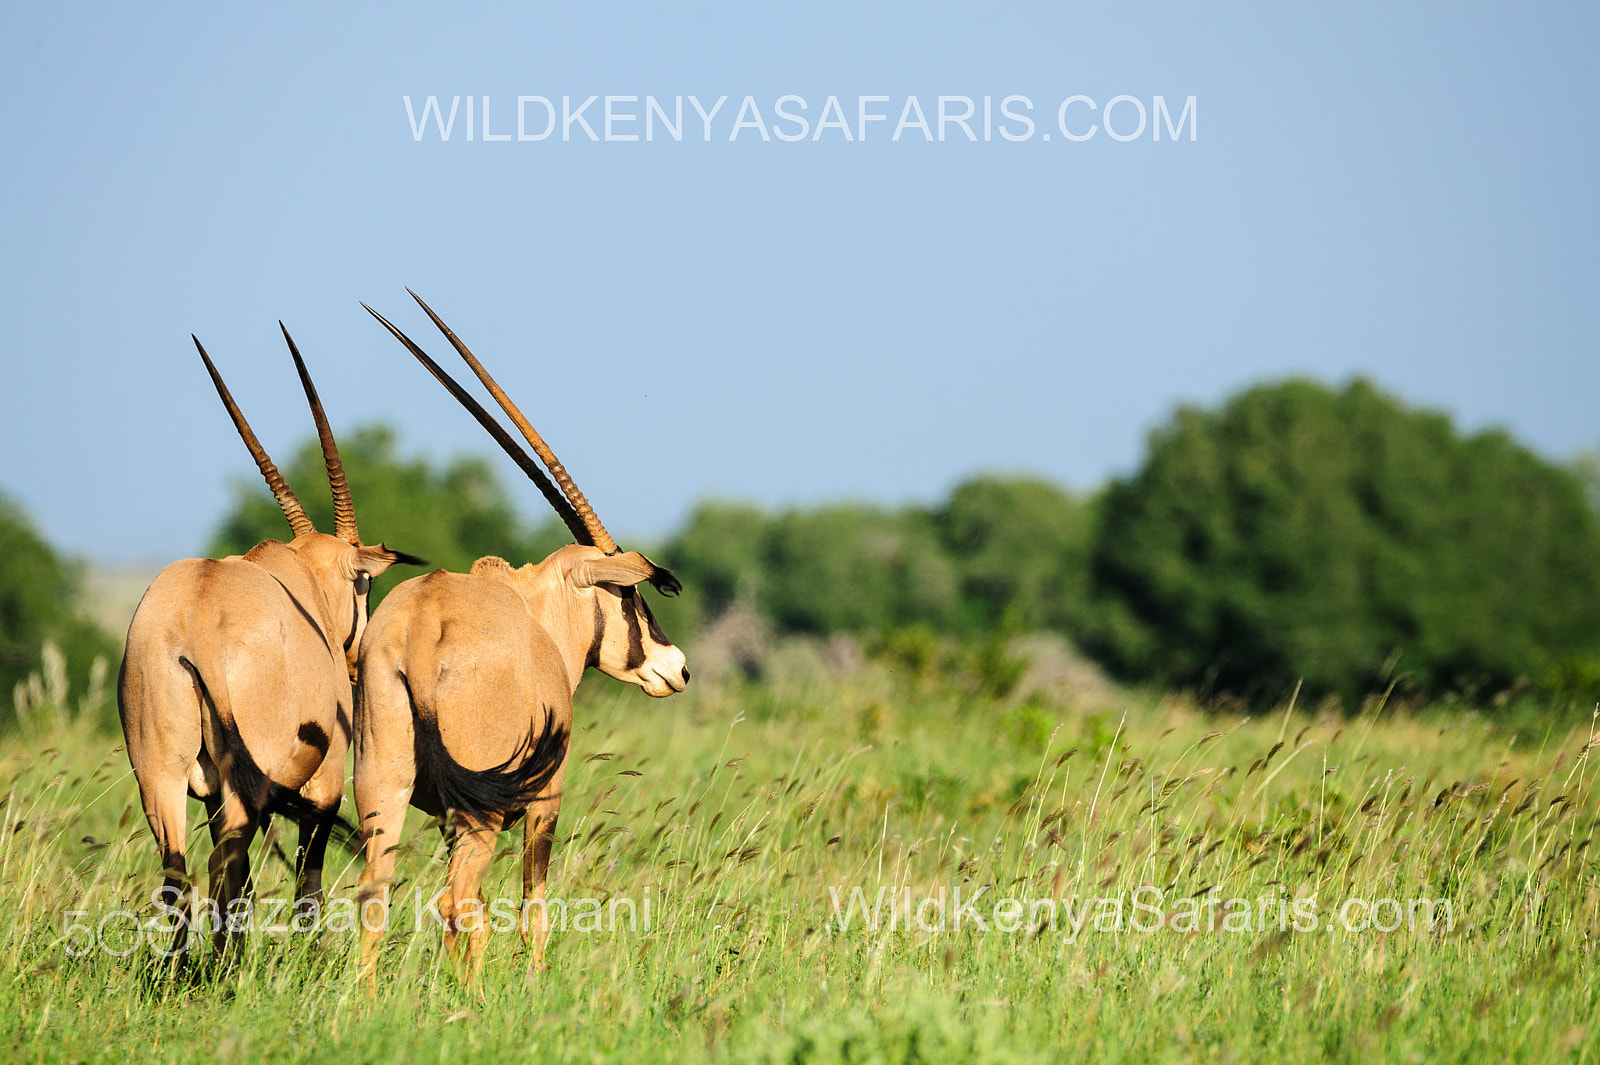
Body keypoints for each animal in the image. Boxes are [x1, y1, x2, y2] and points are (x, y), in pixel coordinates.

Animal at [118, 326, 422, 953]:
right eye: (362, 582)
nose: (351, 658)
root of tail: (196, 623)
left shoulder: (208, 791)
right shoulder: (325, 787)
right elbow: (309, 876)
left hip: (160, 774)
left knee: (178, 873)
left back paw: (184, 966)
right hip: (246, 784)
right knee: (227, 867)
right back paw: (226, 964)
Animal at [356, 292, 688, 978]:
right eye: (628, 593)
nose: (678, 668)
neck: (533, 613)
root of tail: (422, 632)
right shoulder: (544, 804)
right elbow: (535, 904)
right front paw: (535, 984)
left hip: (385, 789)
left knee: (377, 897)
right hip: (481, 810)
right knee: (458, 901)